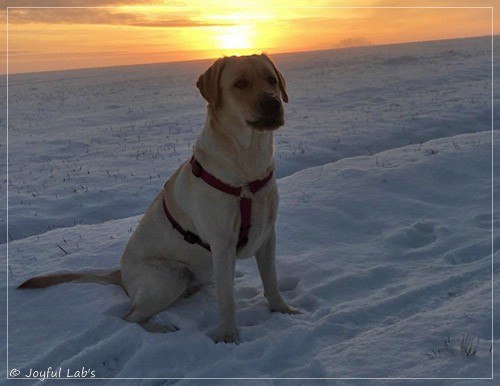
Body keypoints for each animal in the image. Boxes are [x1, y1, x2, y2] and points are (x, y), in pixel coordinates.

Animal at [18, 52, 300, 342]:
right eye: (240, 84)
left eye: (271, 79)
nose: (273, 102)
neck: (248, 166)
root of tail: (121, 273)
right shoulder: (222, 244)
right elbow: (227, 300)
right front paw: (227, 338)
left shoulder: (267, 235)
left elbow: (271, 280)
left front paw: (283, 310)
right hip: (170, 275)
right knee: (131, 316)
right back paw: (161, 328)